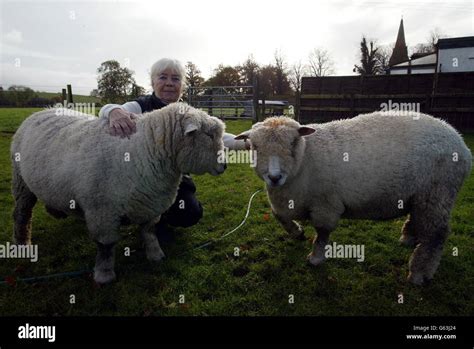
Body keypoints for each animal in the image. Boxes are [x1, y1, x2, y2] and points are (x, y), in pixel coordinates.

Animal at [10, 102, 226, 282]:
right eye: (209, 135)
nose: (224, 166)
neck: (147, 148)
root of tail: (41, 111)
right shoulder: (103, 211)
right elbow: (106, 245)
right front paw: (104, 274)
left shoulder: (150, 203)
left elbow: (149, 232)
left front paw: (156, 255)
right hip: (21, 182)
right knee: (22, 213)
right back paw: (23, 245)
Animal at [235, 110, 472, 284]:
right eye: (254, 147)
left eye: (293, 142)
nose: (274, 177)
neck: (304, 160)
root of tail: (461, 144)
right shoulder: (287, 201)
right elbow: (279, 216)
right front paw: (297, 232)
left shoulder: (326, 204)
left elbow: (322, 232)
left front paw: (316, 258)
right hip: (422, 196)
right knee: (417, 220)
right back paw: (408, 239)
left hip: (437, 193)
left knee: (436, 235)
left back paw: (419, 274)